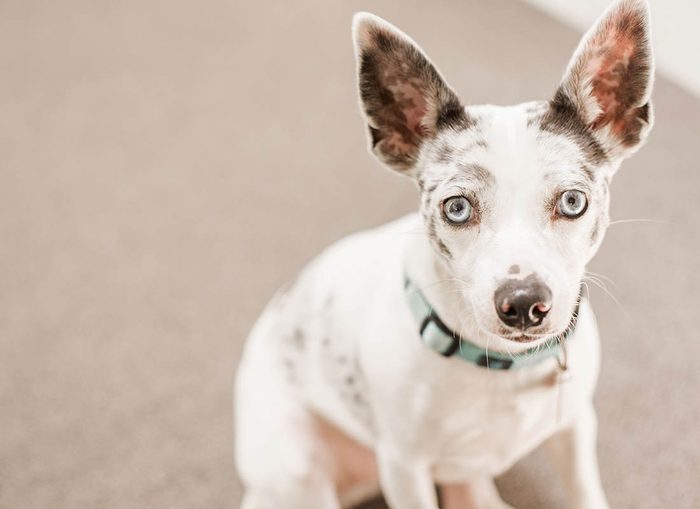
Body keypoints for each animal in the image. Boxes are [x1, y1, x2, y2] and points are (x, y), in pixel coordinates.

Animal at [237, 1, 656, 506]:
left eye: (573, 201)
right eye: (457, 208)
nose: (523, 303)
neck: (500, 367)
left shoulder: (574, 428)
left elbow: (586, 492)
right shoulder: (405, 467)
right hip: (299, 471)